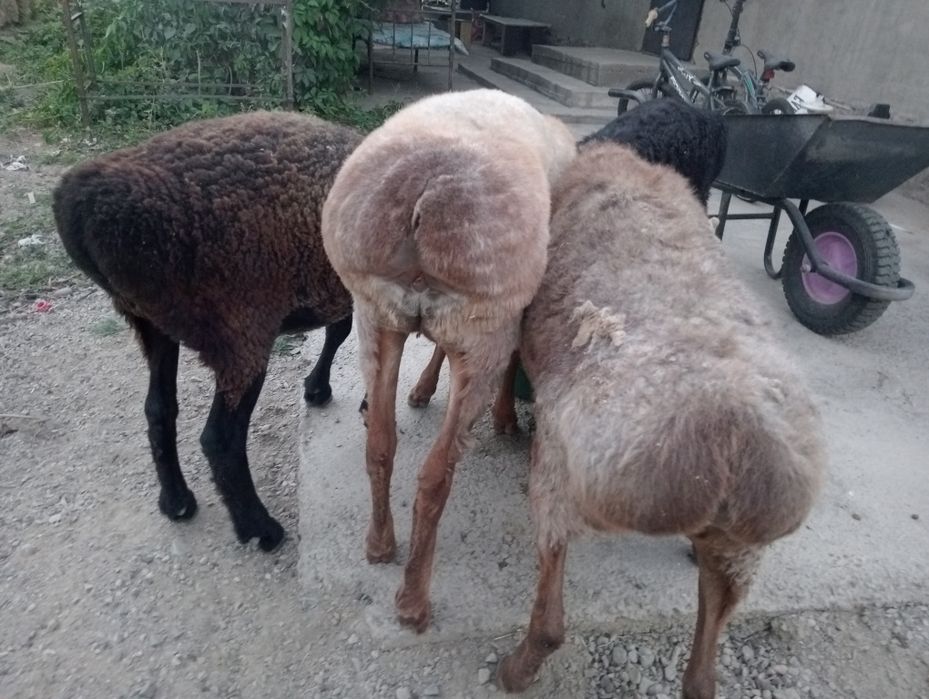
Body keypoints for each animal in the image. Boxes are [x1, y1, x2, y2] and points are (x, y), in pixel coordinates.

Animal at [53, 111, 362, 552]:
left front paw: (318, 388)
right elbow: (345, 331)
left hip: (153, 322)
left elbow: (342, 328)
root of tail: (84, 204)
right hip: (238, 328)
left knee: (158, 407)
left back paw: (176, 501)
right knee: (220, 439)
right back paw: (260, 528)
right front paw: (326, 389)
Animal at [322, 88, 577, 631]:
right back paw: (413, 600)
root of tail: (425, 194)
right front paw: (502, 418)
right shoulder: (505, 322)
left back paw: (380, 544)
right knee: (437, 476)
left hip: (376, 316)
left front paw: (421, 389)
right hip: (481, 333)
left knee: (380, 444)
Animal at [496, 142, 826, 698]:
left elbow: (507, 364)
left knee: (551, 622)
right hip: (742, 549)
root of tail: (731, 442)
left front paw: (503, 425)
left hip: (561, 483)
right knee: (704, 667)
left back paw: (515, 671)